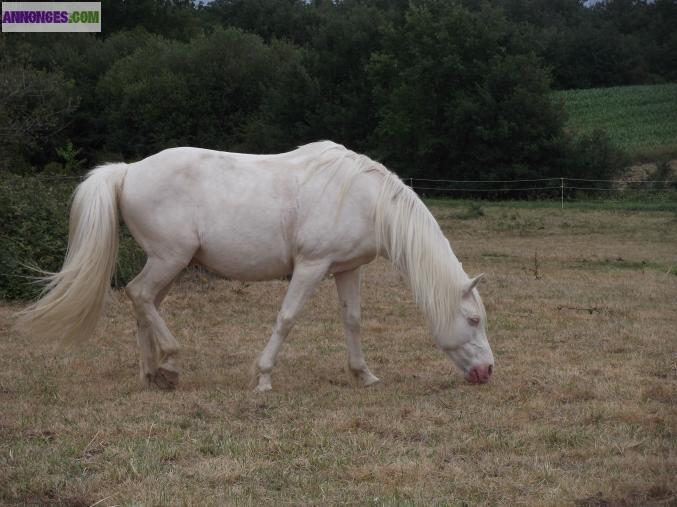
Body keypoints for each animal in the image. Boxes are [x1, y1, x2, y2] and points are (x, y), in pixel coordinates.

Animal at [14, 143, 492, 392]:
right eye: (472, 319)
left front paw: (364, 374)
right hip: (170, 259)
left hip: (167, 263)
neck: (364, 197)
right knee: (140, 295)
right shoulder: (311, 266)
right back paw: (170, 361)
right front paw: (263, 377)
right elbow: (287, 318)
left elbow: (352, 320)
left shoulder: (345, 270)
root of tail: (128, 171)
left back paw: (153, 373)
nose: (487, 372)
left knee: (143, 303)